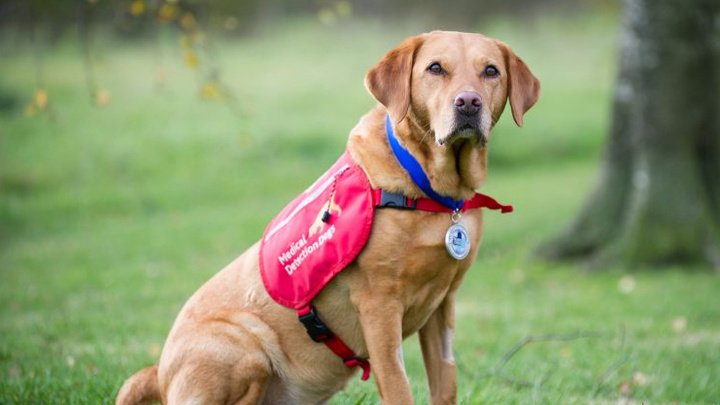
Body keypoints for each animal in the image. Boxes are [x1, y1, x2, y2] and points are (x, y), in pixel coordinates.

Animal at [116, 30, 536, 402]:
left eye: (491, 71)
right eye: (436, 68)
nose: (468, 103)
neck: (433, 190)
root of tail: (159, 372)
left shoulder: (443, 306)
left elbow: (445, 386)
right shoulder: (379, 307)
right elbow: (398, 387)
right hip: (247, 346)